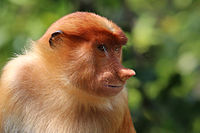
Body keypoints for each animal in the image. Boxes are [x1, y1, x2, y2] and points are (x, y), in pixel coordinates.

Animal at [0, 11, 136, 133]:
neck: (62, 88)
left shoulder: (120, 102)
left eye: (116, 48)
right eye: (101, 47)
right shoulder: (14, 78)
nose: (125, 73)